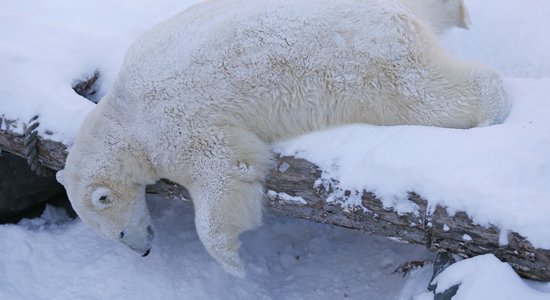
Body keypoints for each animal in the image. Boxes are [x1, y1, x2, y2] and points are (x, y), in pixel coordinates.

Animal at [58, 0, 512, 276]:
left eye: (118, 234)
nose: (144, 251)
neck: (123, 116)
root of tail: (391, 12)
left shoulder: (175, 124)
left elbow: (224, 171)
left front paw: (234, 264)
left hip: (364, 63)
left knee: (419, 95)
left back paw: (492, 111)